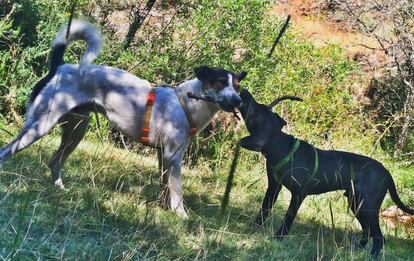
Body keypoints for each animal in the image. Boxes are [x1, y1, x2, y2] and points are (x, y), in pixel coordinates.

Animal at [0, 19, 246, 217]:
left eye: (237, 86)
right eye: (220, 82)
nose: (238, 101)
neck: (185, 102)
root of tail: (59, 67)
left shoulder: (163, 156)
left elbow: (164, 186)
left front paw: (164, 210)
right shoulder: (174, 156)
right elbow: (177, 191)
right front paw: (180, 215)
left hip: (77, 127)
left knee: (54, 161)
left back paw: (60, 189)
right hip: (40, 126)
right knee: (7, 151)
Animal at [238, 88, 412, 255]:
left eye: (255, 109)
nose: (244, 91)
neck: (280, 146)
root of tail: (387, 173)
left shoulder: (298, 194)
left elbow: (288, 217)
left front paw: (279, 237)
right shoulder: (274, 187)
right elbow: (264, 210)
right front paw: (254, 229)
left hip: (367, 206)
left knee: (379, 237)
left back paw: (372, 255)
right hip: (356, 203)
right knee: (367, 231)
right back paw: (357, 248)